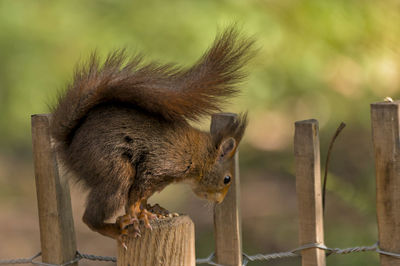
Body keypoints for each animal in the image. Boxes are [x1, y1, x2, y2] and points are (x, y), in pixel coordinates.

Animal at [50, 27, 255, 243]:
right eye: (227, 179)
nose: (220, 200)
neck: (200, 155)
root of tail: (69, 144)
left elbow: (141, 197)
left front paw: (150, 210)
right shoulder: (160, 165)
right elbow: (135, 196)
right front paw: (138, 214)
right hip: (110, 168)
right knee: (94, 213)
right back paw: (116, 230)